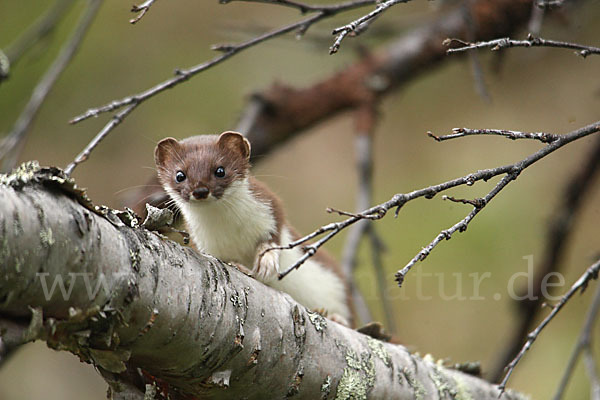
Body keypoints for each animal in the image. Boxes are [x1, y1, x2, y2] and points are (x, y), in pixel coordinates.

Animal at [154, 133, 352, 326]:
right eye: (180, 175)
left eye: (220, 170)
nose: (200, 190)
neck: (228, 229)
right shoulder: (205, 243)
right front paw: (238, 265)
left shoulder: (269, 207)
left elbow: (274, 235)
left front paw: (266, 262)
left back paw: (335, 317)